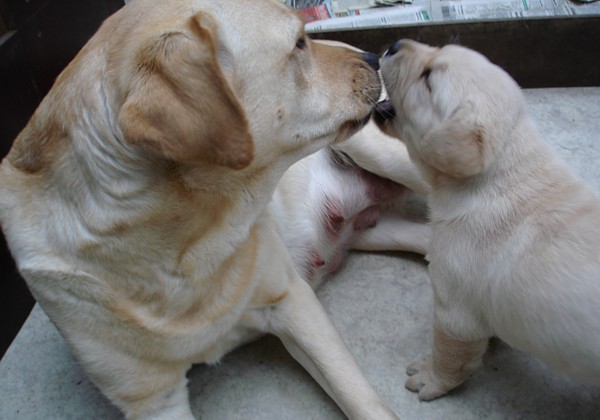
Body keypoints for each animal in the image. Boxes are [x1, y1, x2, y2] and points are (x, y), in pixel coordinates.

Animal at [0, 0, 404, 416]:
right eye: (298, 44)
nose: (374, 56)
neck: (184, 251)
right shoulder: (154, 402)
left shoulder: (293, 301)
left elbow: (362, 399)